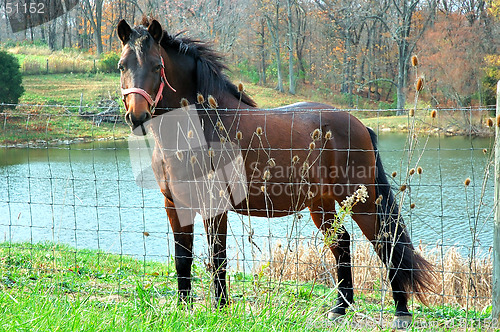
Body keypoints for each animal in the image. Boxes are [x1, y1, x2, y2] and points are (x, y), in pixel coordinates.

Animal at [117, 18, 434, 326]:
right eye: (122, 65)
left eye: (157, 66)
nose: (137, 116)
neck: (204, 124)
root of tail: (359, 125)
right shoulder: (175, 205)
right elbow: (182, 259)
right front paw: (183, 309)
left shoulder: (214, 206)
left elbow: (218, 257)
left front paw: (220, 309)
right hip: (321, 203)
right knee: (342, 242)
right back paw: (340, 308)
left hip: (362, 202)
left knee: (385, 242)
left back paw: (401, 312)